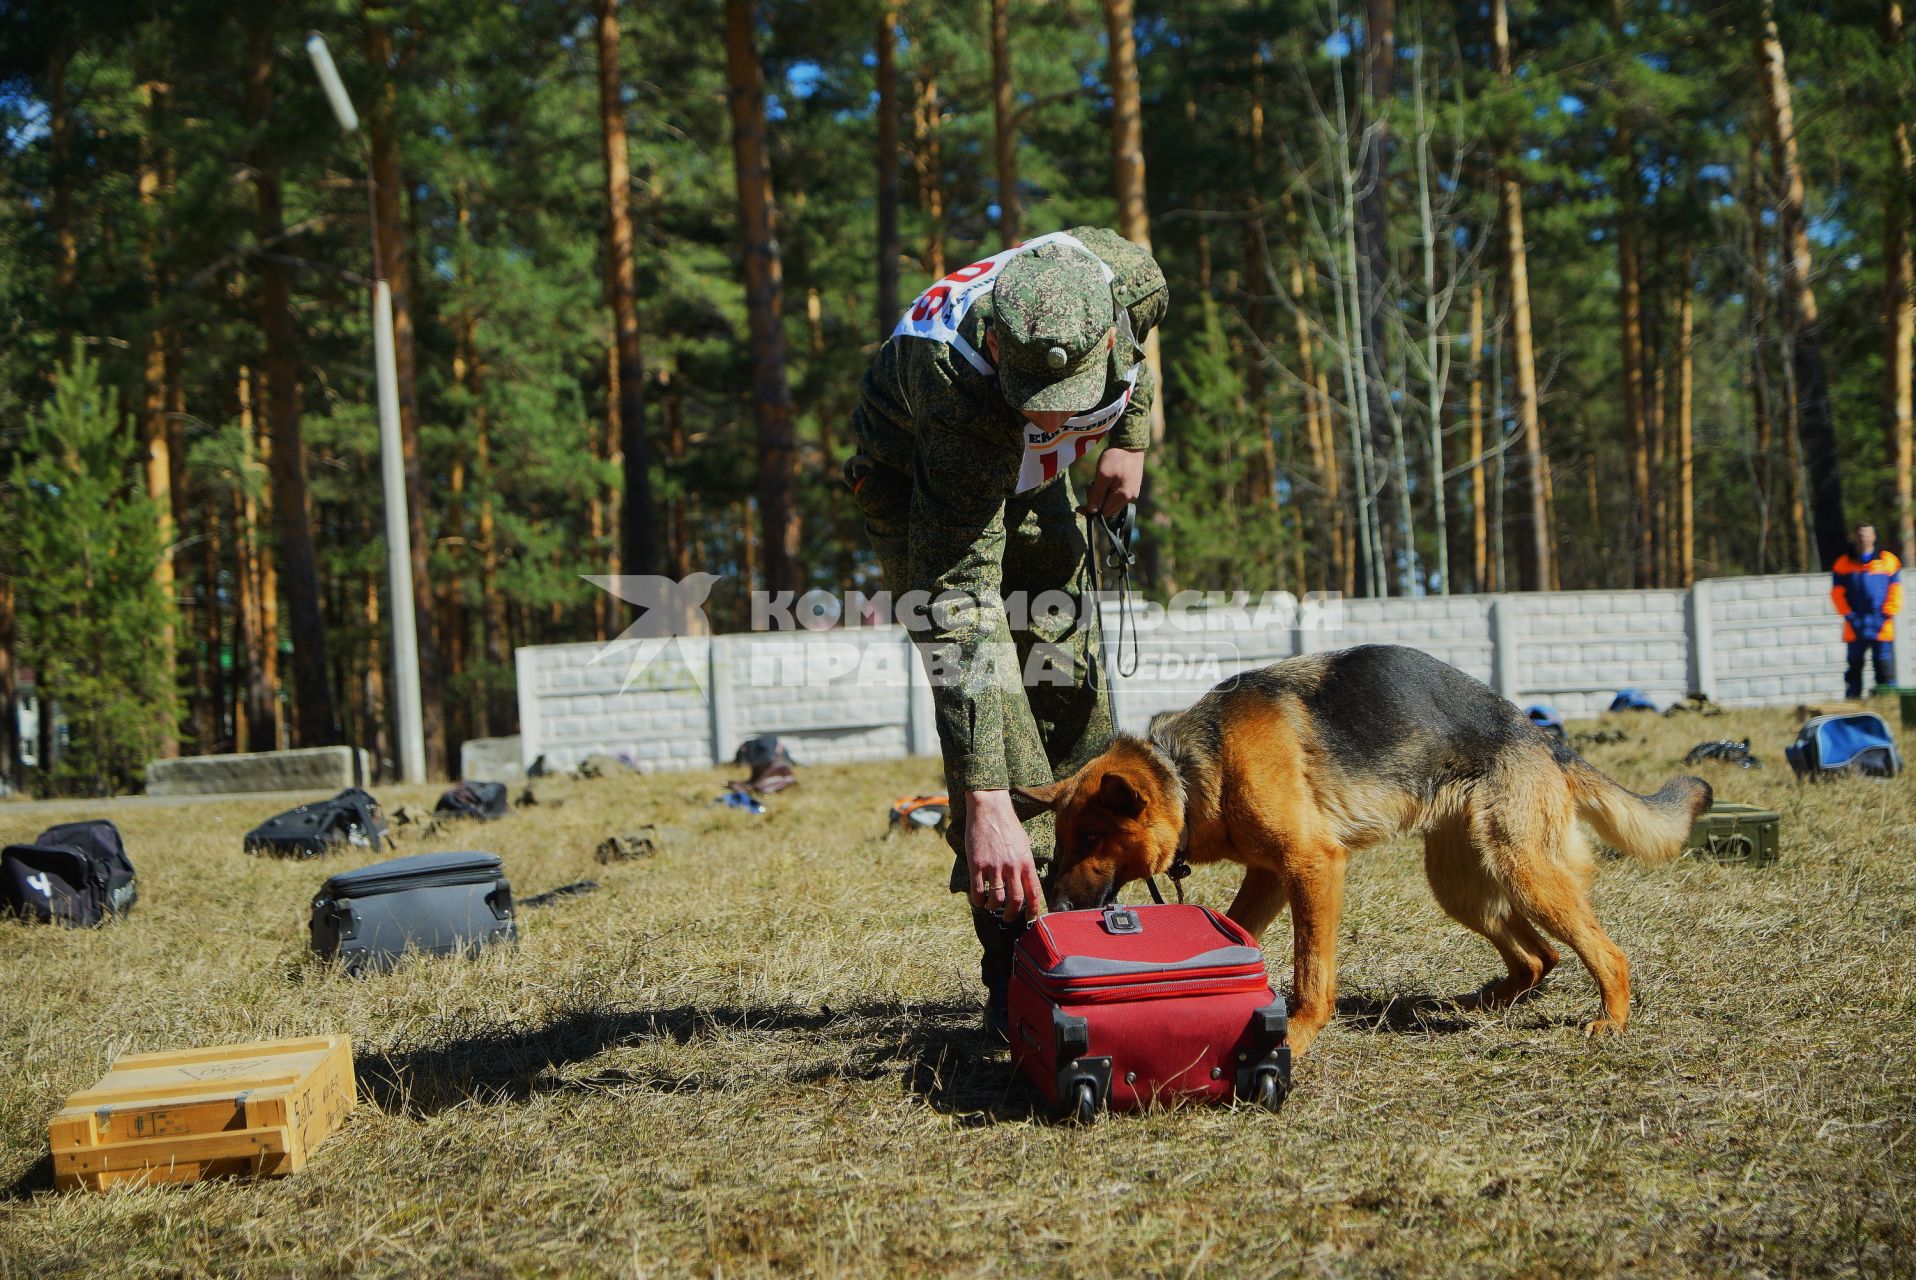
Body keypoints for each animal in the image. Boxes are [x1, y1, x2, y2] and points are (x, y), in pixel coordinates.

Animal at [1011, 643, 1716, 1057]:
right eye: (1063, 841)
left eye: (1093, 838)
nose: (1053, 905)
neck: (1190, 769)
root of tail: (1542, 737)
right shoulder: (1269, 877)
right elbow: (1241, 931)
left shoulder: (1311, 868)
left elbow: (1311, 971)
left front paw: (1295, 1034)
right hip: (1462, 884)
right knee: (1540, 957)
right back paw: (1477, 1003)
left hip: (1525, 870)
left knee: (1606, 953)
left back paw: (1611, 1020)